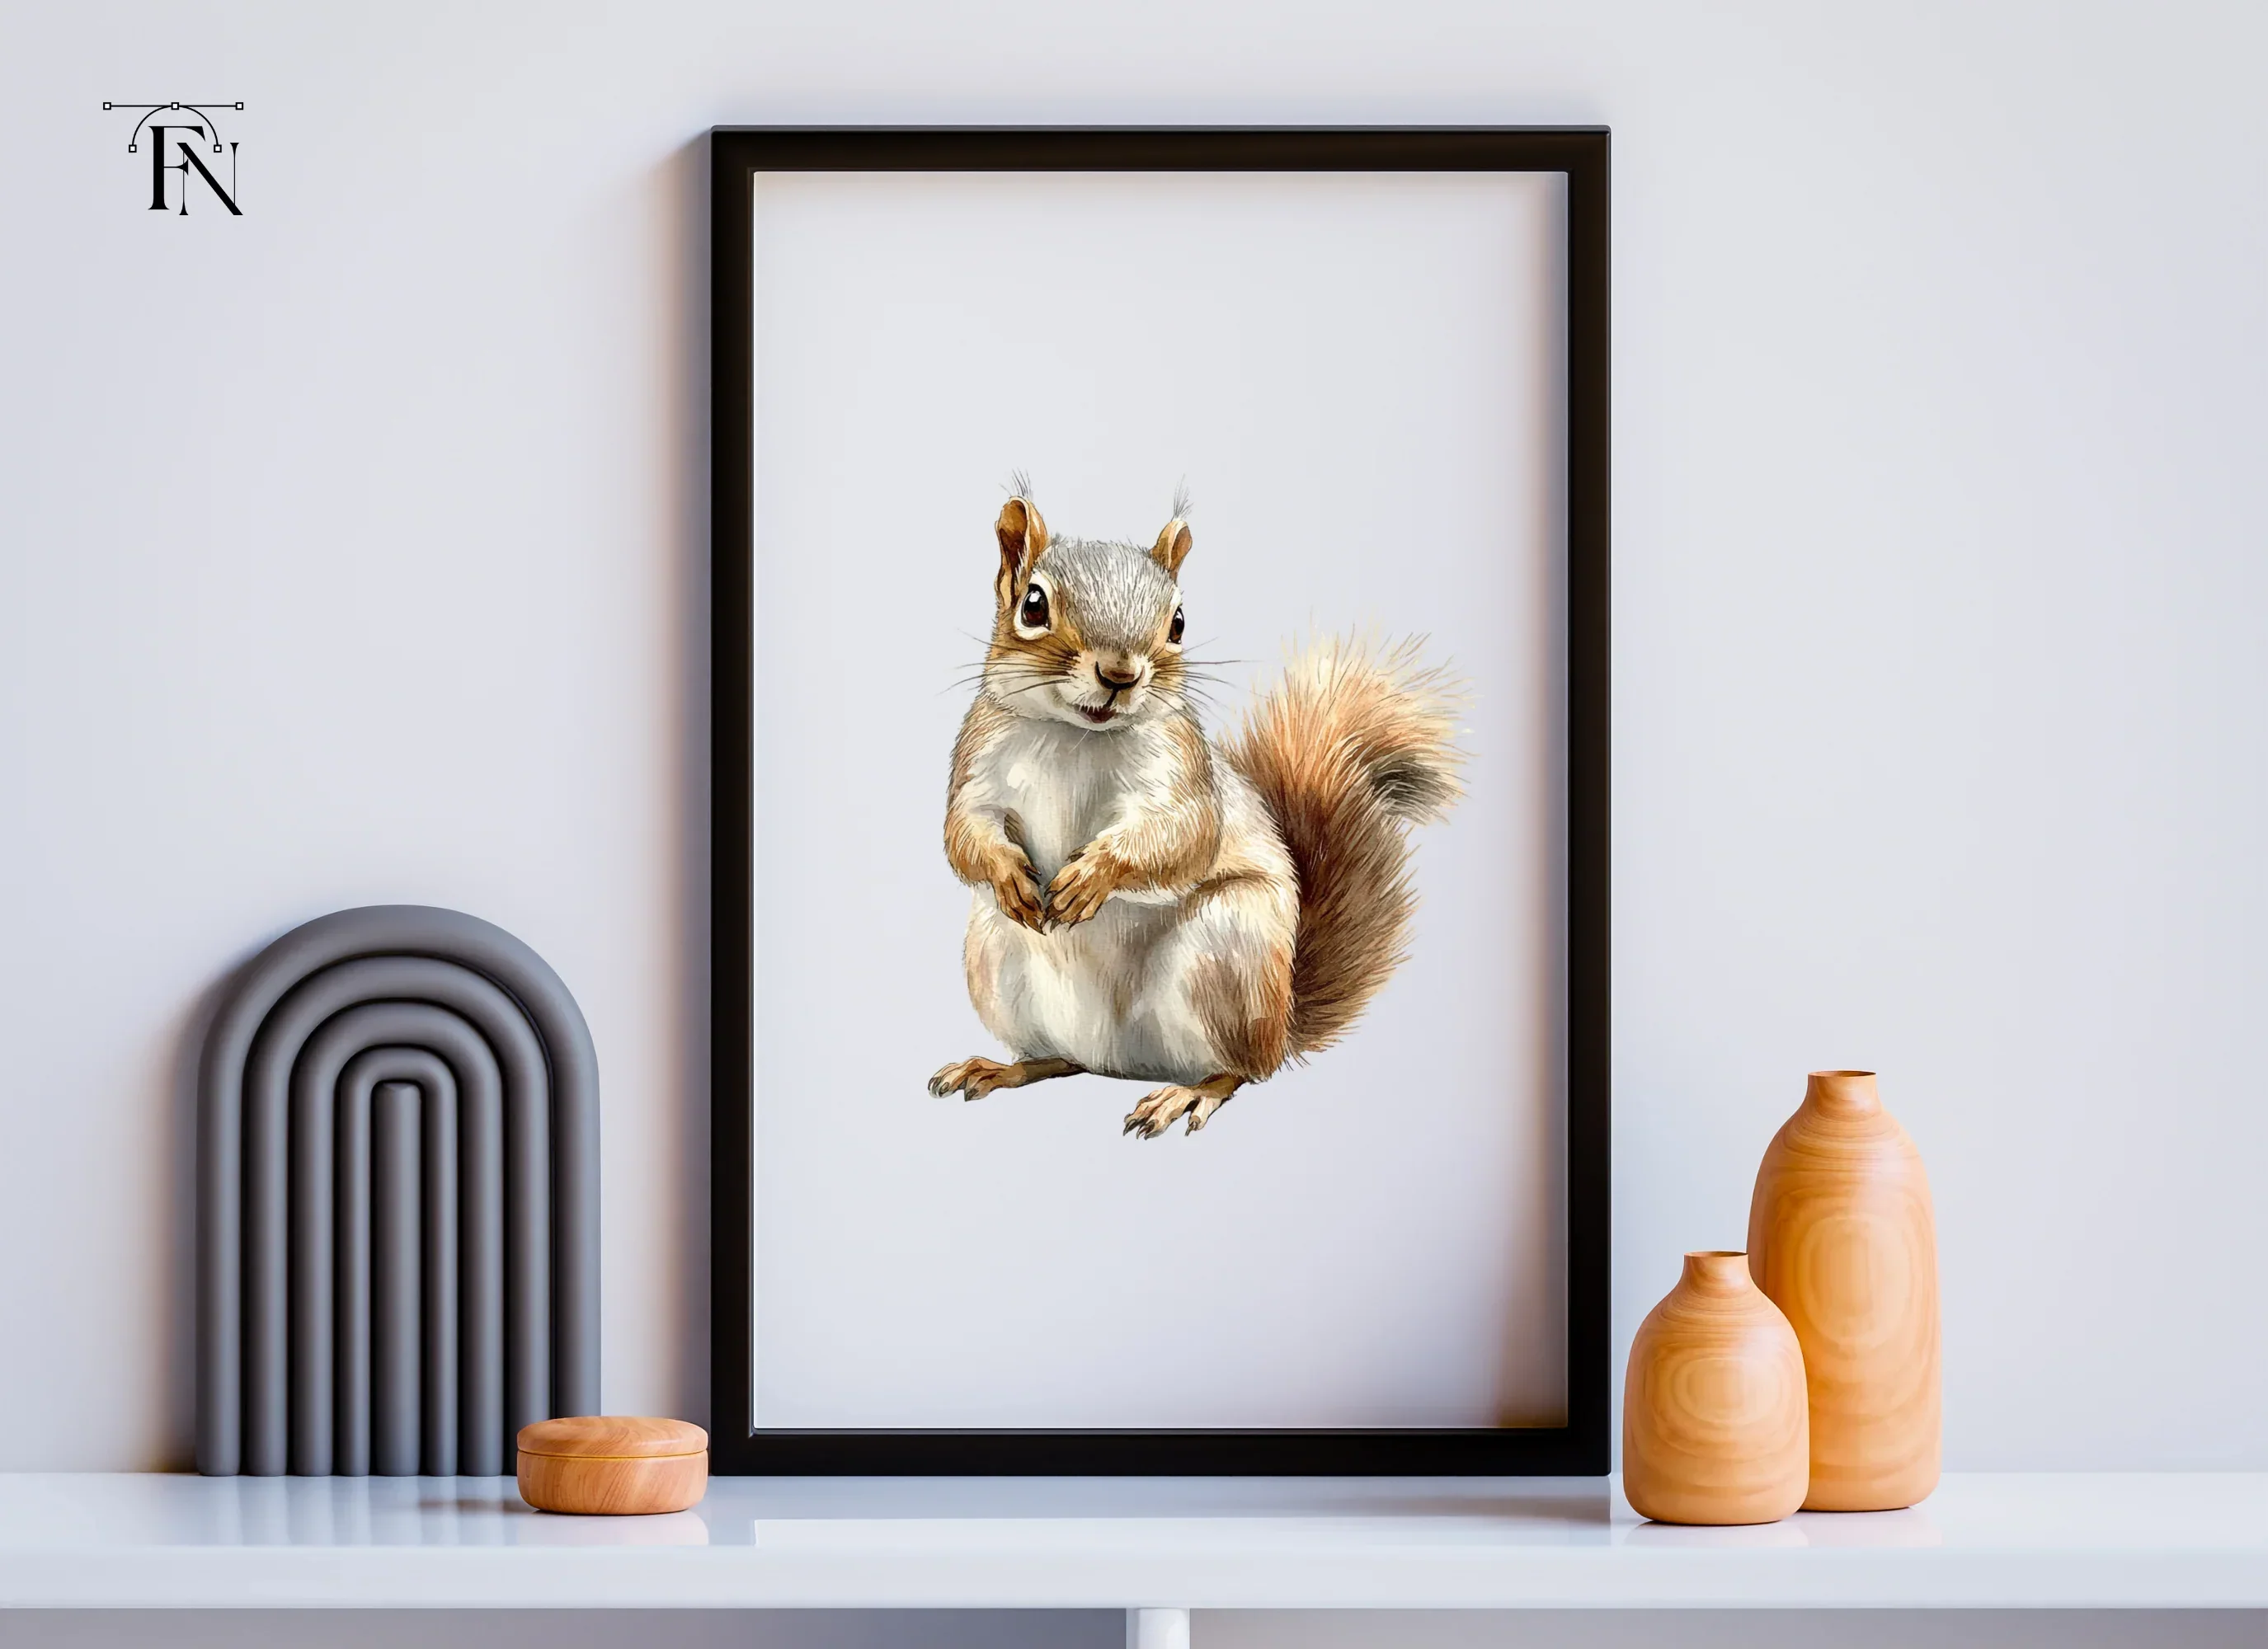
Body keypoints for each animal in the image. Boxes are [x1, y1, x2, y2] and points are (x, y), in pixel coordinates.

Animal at [927, 485, 1464, 1137]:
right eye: (1032, 606)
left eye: (1179, 622)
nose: (1120, 674)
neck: (1079, 734)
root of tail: (1118, 1062)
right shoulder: (978, 763)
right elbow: (964, 832)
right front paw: (1008, 874)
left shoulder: (1183, 771)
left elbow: (1185, 835)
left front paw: (1092, 877)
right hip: (994, 962)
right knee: (1058, 1059)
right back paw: (999, 1068)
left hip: (1226, 958)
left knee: (1243, 1071)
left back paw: (1188, 1094)